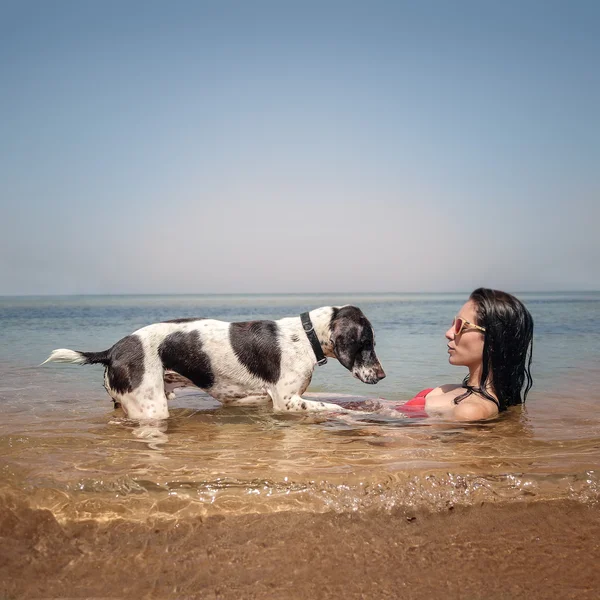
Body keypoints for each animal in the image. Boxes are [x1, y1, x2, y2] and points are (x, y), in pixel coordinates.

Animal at [44, 308, 386, 420]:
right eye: (367, 342)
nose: (382, 376)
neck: (306, 334)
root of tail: (112, 349)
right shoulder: (287, 401)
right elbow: (334, 407)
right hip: (151, 408)